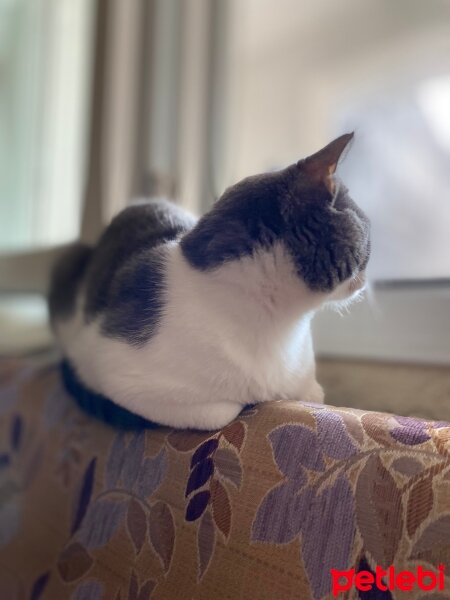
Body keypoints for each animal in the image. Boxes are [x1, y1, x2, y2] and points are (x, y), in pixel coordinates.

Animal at [48, 134, 370, 428]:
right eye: (368, 237)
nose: (367, 279)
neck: (278, 323)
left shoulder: (309, 386)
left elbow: (314, 393)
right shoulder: (113, 368)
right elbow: (221, 413)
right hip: (70, 260)